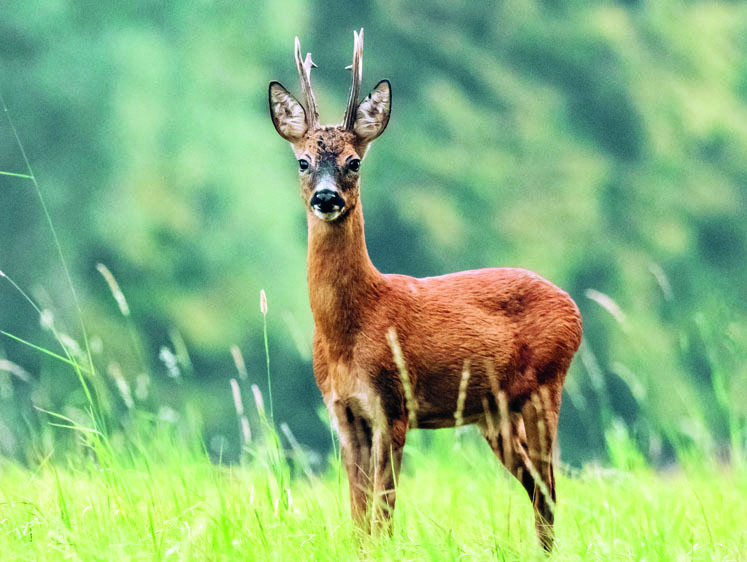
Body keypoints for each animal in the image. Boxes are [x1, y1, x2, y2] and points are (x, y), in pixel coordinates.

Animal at [268, 28, 584, 548]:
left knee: (549, 490)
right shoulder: (343, 412)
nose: (327, 198)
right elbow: (358, 516)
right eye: (303, 161)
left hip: (545, 384)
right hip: (494, 413)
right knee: (538, 487)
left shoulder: (393, 403)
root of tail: (573, 307)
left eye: (354, 162)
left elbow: (383, 514)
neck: (349, 331)